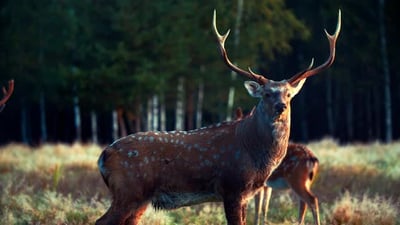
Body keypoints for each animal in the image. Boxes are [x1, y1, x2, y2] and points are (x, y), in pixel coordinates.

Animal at [94, 9, 340, 224]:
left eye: (288, 94)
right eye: (267, 94)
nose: (281, 106)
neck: (254, 152)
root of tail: (103, 156)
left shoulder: (247, 194)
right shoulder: (232, 187)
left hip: (140, 198)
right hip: (129, 190)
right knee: (102, 221)